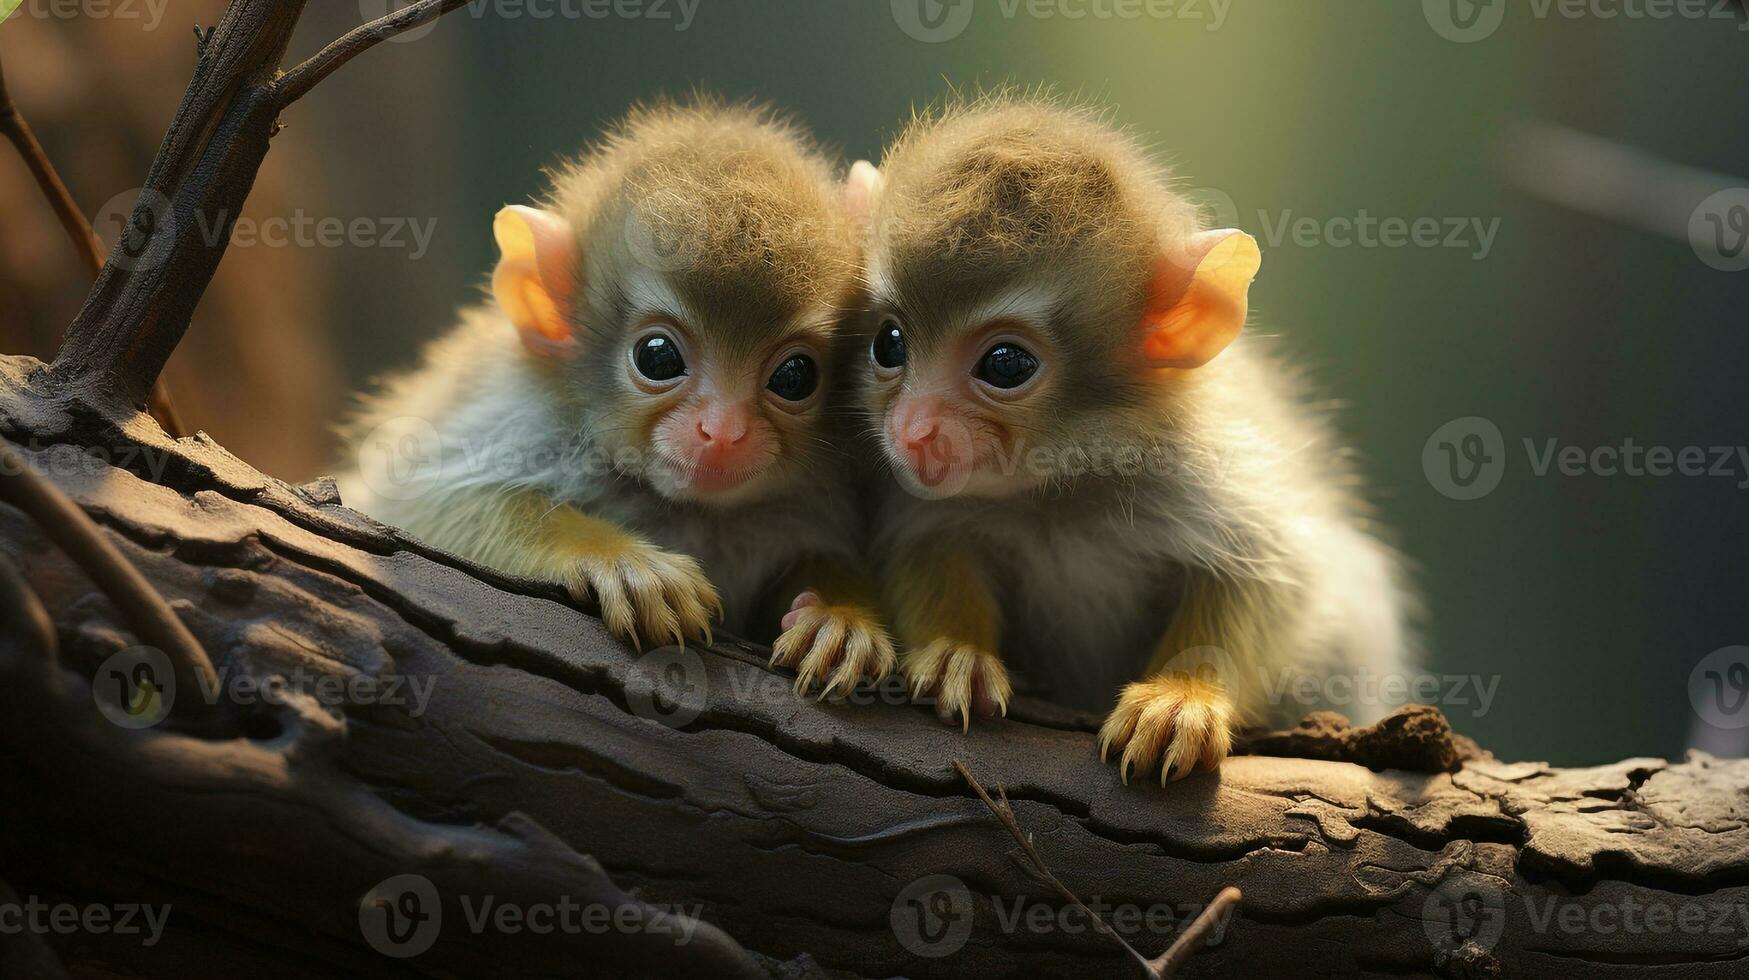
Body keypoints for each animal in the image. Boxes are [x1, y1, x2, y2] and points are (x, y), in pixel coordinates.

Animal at [853, 99, 1413, 784]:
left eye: (1006, 364)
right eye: (889, 343)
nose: (912, 429)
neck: (1059, 492)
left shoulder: (1203, 476)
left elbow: (1270, 577)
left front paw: (1181, 699)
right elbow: (926, 546)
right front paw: (957, 649)